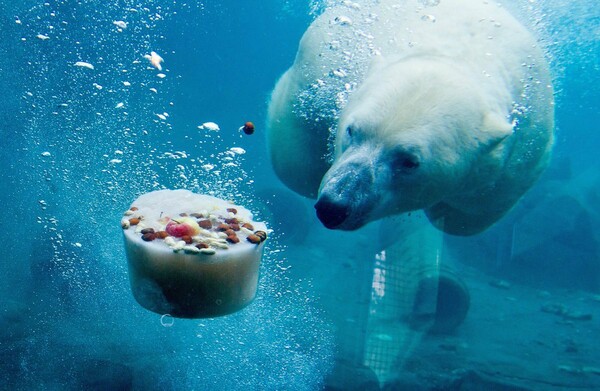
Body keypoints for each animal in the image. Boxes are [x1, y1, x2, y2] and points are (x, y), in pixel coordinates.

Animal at [268, 0, 552, 236]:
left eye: (409, 162)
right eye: (352, 130)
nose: (334, 206)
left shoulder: (523, 153)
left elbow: (470, 214)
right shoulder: (328, 57)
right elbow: (295, 162)